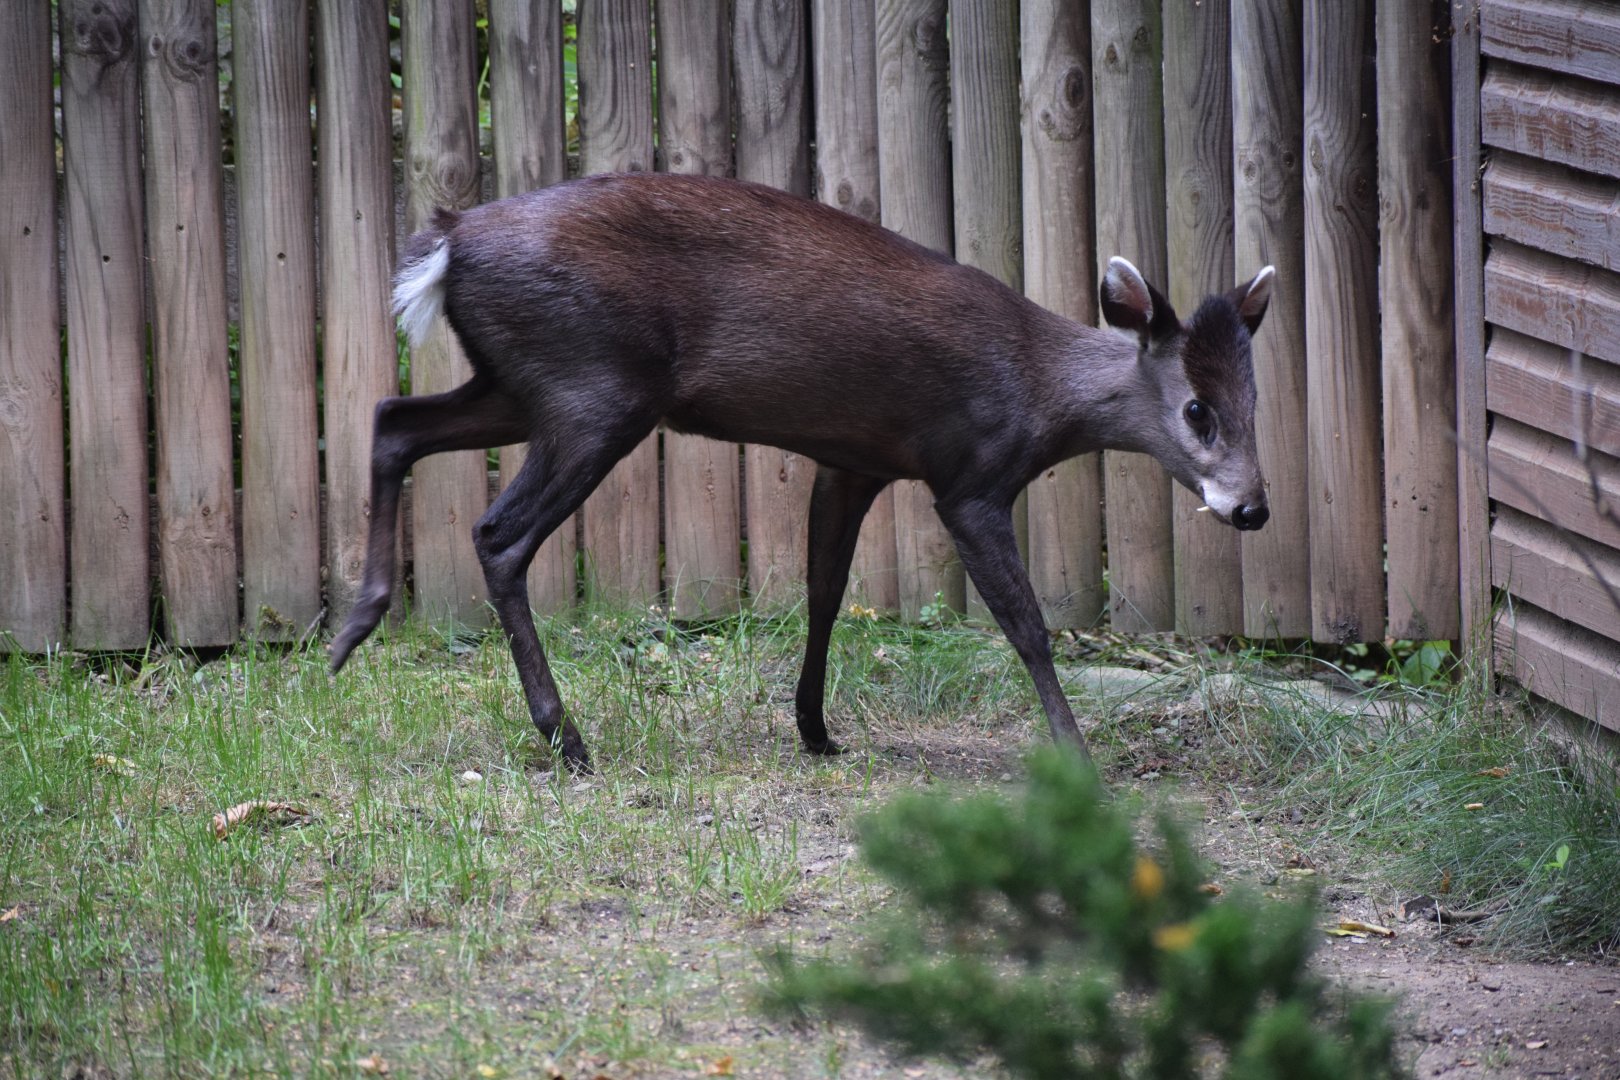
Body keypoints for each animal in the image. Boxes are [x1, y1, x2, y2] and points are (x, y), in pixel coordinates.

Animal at [329, 172, 1274, 772]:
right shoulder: (967, 479)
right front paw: (1078, 758)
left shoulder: (850, 463)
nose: (1253, 508)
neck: (1040, 395)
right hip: (591, 392)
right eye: (1198, 409)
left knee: (392, 419)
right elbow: (1027, 624)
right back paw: (567, 740)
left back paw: (351, 631)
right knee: (496, 533)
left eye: (1257, 400)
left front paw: (816, 730)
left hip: (524, 384)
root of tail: (449, 241)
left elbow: (823, 594)